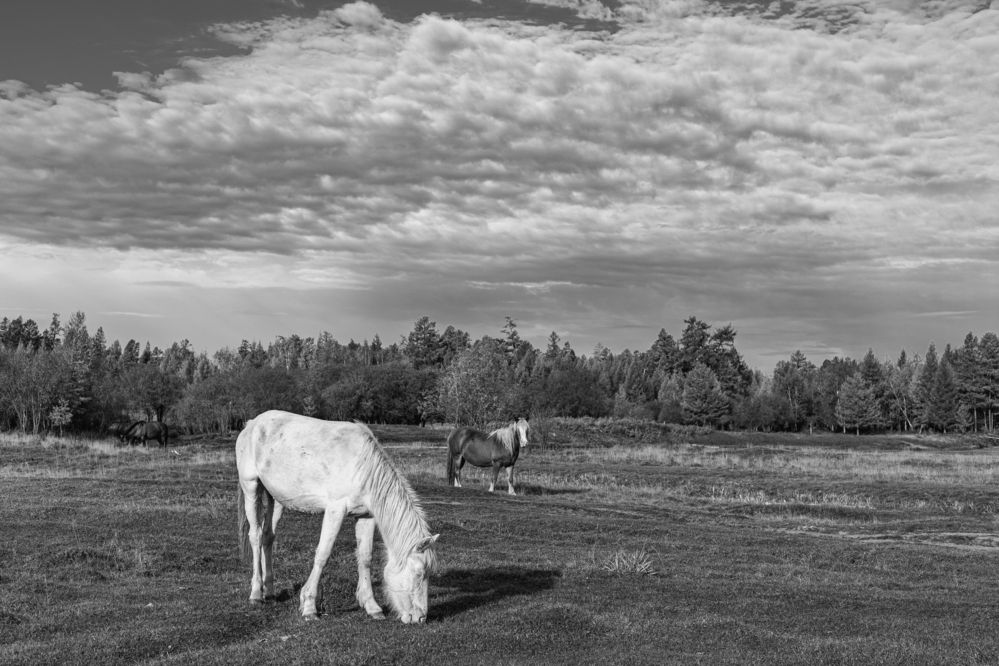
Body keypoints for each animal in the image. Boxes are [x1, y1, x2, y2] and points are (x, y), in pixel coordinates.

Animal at [236, 410, 439, 623]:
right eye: (418, 573)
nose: (421, 618)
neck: (363, 467)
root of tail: (252, 423)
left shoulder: (366, 516)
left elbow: (365, 557)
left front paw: (372, 606)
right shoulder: (335, 510)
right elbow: (323, 555)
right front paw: (309, 606)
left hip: (275, 498)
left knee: (268, 537)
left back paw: (269, 591)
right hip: (251, 486)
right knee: (256, 536)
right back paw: (256, 594)